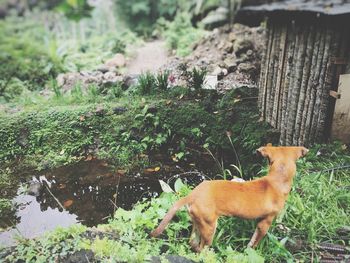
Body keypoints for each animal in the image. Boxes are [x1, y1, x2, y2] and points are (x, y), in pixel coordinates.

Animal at [149, 146, 308, 252]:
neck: (276, 180)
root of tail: (192, 194)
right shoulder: (265, 222)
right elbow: (255, 242)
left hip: (197, 222)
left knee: (193, 243)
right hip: (209, 227)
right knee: (202, 248)